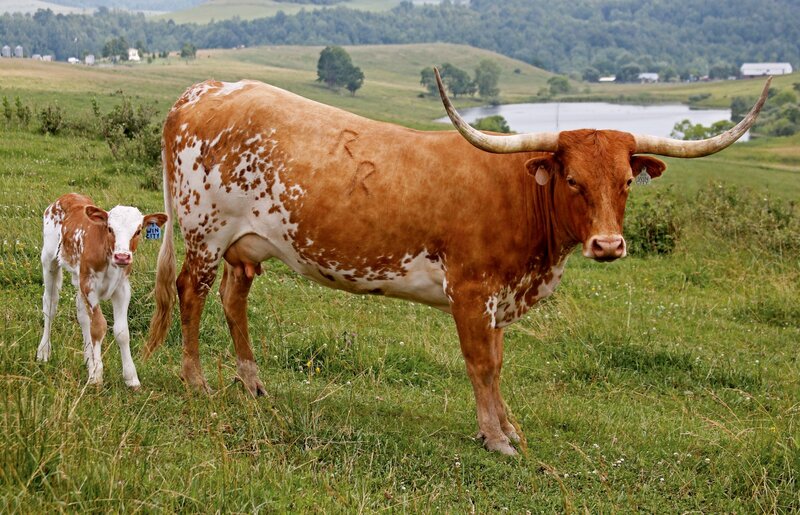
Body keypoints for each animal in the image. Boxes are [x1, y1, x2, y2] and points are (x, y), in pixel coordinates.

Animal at [38, 193, 167, 388]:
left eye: (138, 231)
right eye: (110, 228)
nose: (122, 256)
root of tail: (68, 196)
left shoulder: (122, 289)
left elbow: (122, 332)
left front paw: (131, 377)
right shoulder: (89, 286)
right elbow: (98, 327)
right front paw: (96, 376)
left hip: (78, 277)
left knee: (82, 315)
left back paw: (88, 359)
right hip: (49, 260)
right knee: (50, 305)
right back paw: (44, 351)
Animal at [145, 71, 769, 454]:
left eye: (625, 183)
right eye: (572, 179)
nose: (608, 246)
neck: (521, 197)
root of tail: (202, 90)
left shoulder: (498, 299)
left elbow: (498, 362)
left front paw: (510, 427)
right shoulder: (470, 293)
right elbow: (481, 364)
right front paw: (496, 438)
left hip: (245, 244)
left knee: (233, 300)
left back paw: (252, 383)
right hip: (203, 232)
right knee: (191, 295)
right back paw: (196, 382)